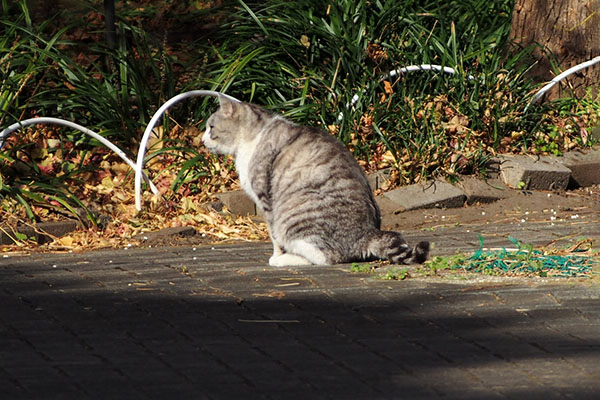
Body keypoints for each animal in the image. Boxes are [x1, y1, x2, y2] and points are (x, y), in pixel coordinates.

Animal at [204, 95, 428, 268]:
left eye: (211, 127)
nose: (201, 140)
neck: (251, 138)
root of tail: (368, 234)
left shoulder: (265, 199)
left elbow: (274, 237)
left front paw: (276, 256)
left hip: (296, 219)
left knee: (326, 257)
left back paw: (286, 260)